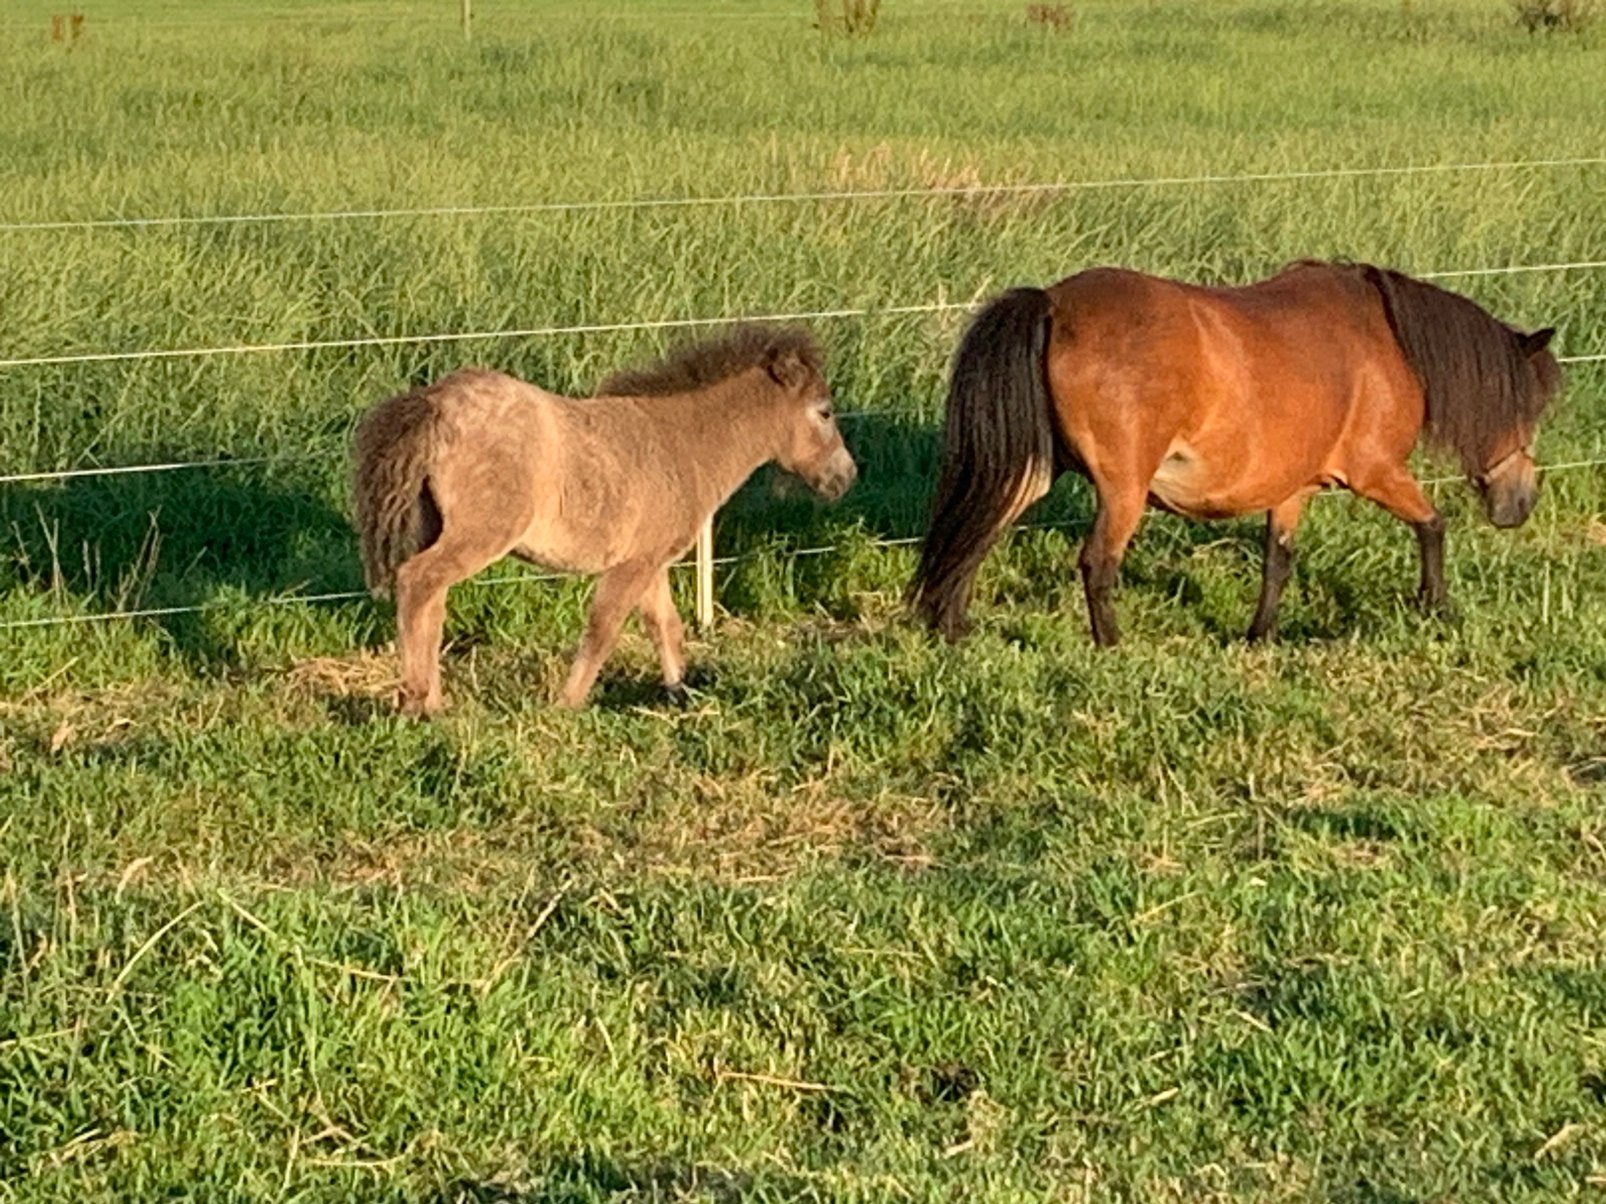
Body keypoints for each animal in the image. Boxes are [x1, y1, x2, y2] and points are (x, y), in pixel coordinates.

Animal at [353, 325, 856, 715]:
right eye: (825, 412)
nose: (846, 476)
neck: (681, 444)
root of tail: (435, 401)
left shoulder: (651, 561)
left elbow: (664, 626)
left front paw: (679, 692)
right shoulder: (632, 565)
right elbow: (604, 629)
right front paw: (567, 704)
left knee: (432, 600)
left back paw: (434, 701)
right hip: (483, 534)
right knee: (418, 582)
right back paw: (418, 702)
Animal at [910, 260, 1561, 645]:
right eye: (1530, 409)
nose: (1519, 505)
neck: (1387, 339)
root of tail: (1053, 302)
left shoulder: (1294, 488)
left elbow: (1278, 561)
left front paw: (1260, 634)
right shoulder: (1376, 471)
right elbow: (1433, 525)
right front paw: (1436, 607)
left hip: (1034, 470)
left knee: (980, 531)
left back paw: (954, 627)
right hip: (1123, 491)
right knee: (1096, 563)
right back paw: (1111, 644)